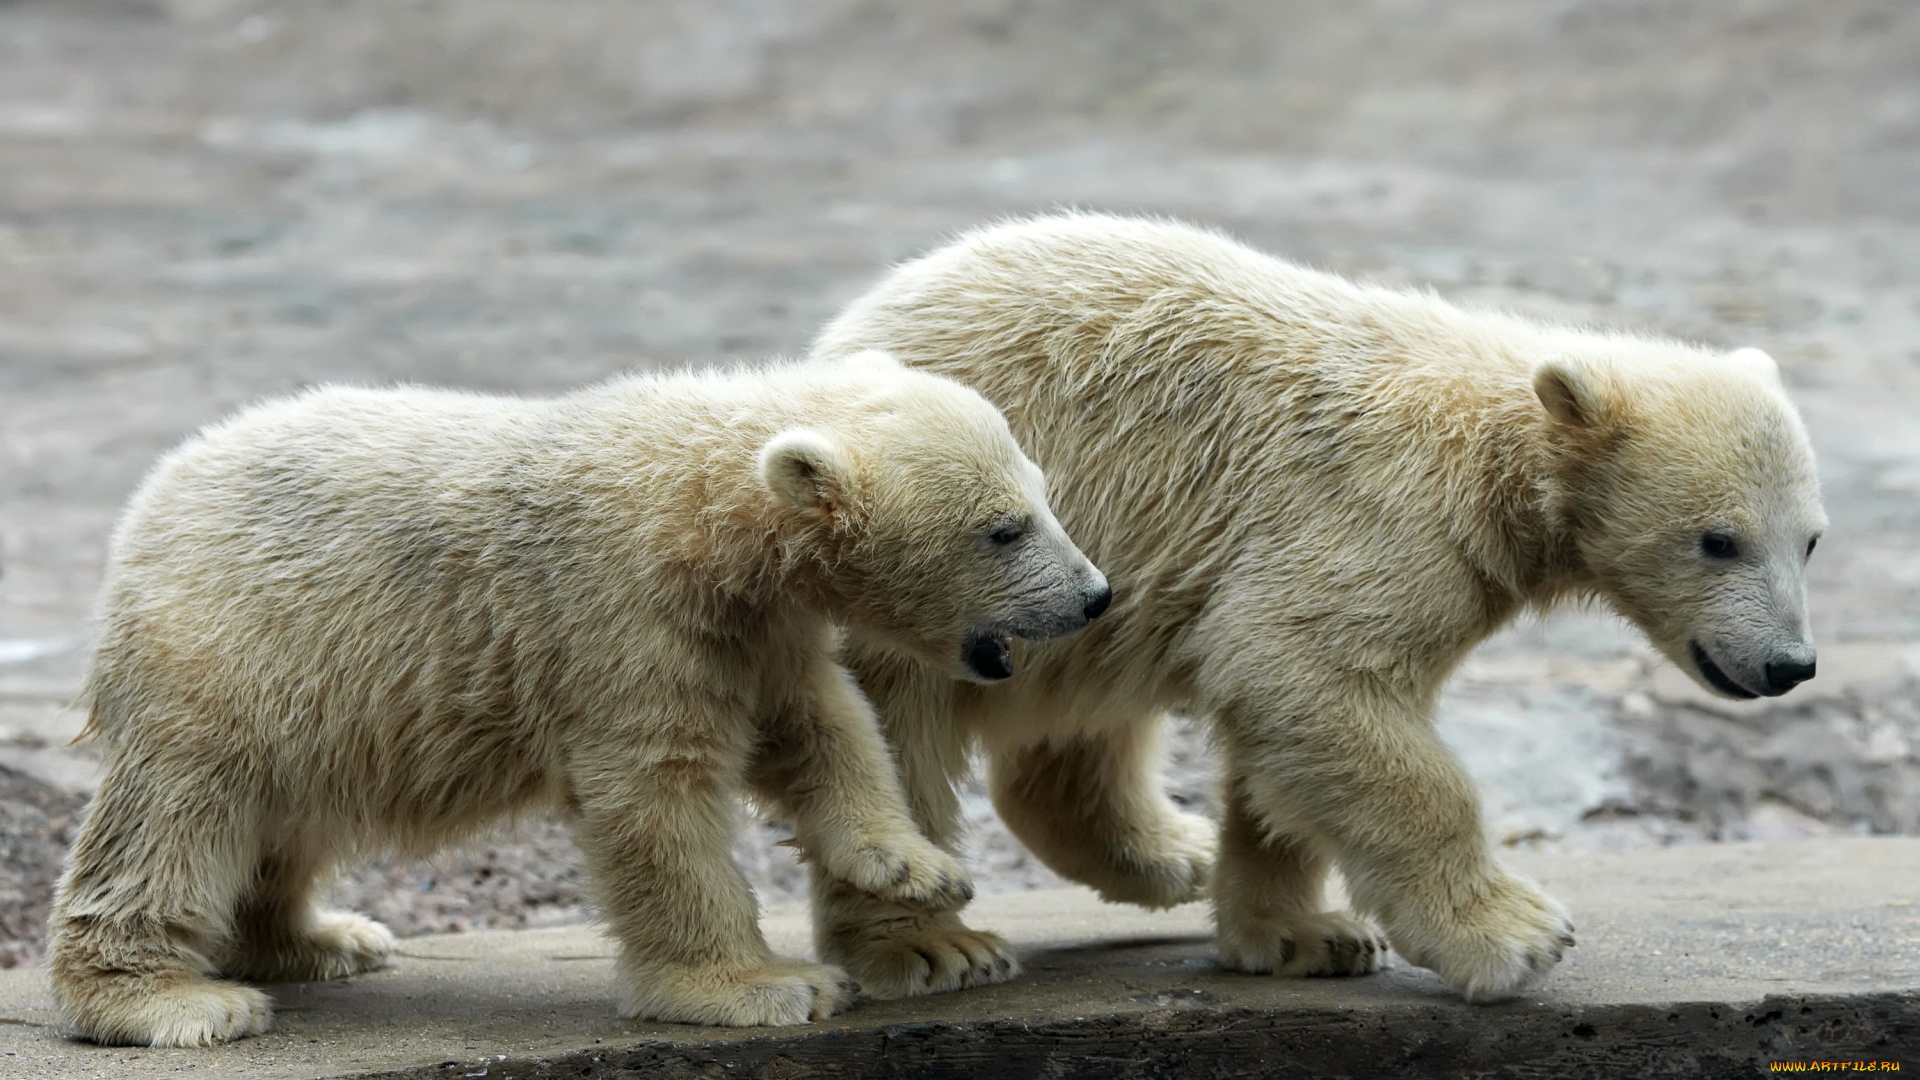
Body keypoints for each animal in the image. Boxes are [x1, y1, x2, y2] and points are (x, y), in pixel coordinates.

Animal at [45, 353, 1113, 1045]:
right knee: (178, 818)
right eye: (1004, 529)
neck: (697, 510)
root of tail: (152, 500)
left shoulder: (753, 631)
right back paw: (172, 1002)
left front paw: (915, 868)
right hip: (225, 648)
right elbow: (657, 798)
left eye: (1043, 493)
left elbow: (822, 725)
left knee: (287, 815)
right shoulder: (615, 616)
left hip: (310, 694)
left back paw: (321, 939)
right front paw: (762, 985)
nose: (1095, 594)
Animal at [810, 212, 1827, 999]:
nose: (1790, 664)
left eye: (1811, 540)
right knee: (894, 732)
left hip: (1084, 589)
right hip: (928, 569)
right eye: (1718, 539)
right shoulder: (1380, 510)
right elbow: (1308, 670)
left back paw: (1169, 850)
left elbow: (1284, 731)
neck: (1492, 450)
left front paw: (1306, 936)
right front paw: (1518, 934)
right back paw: (930, 945)